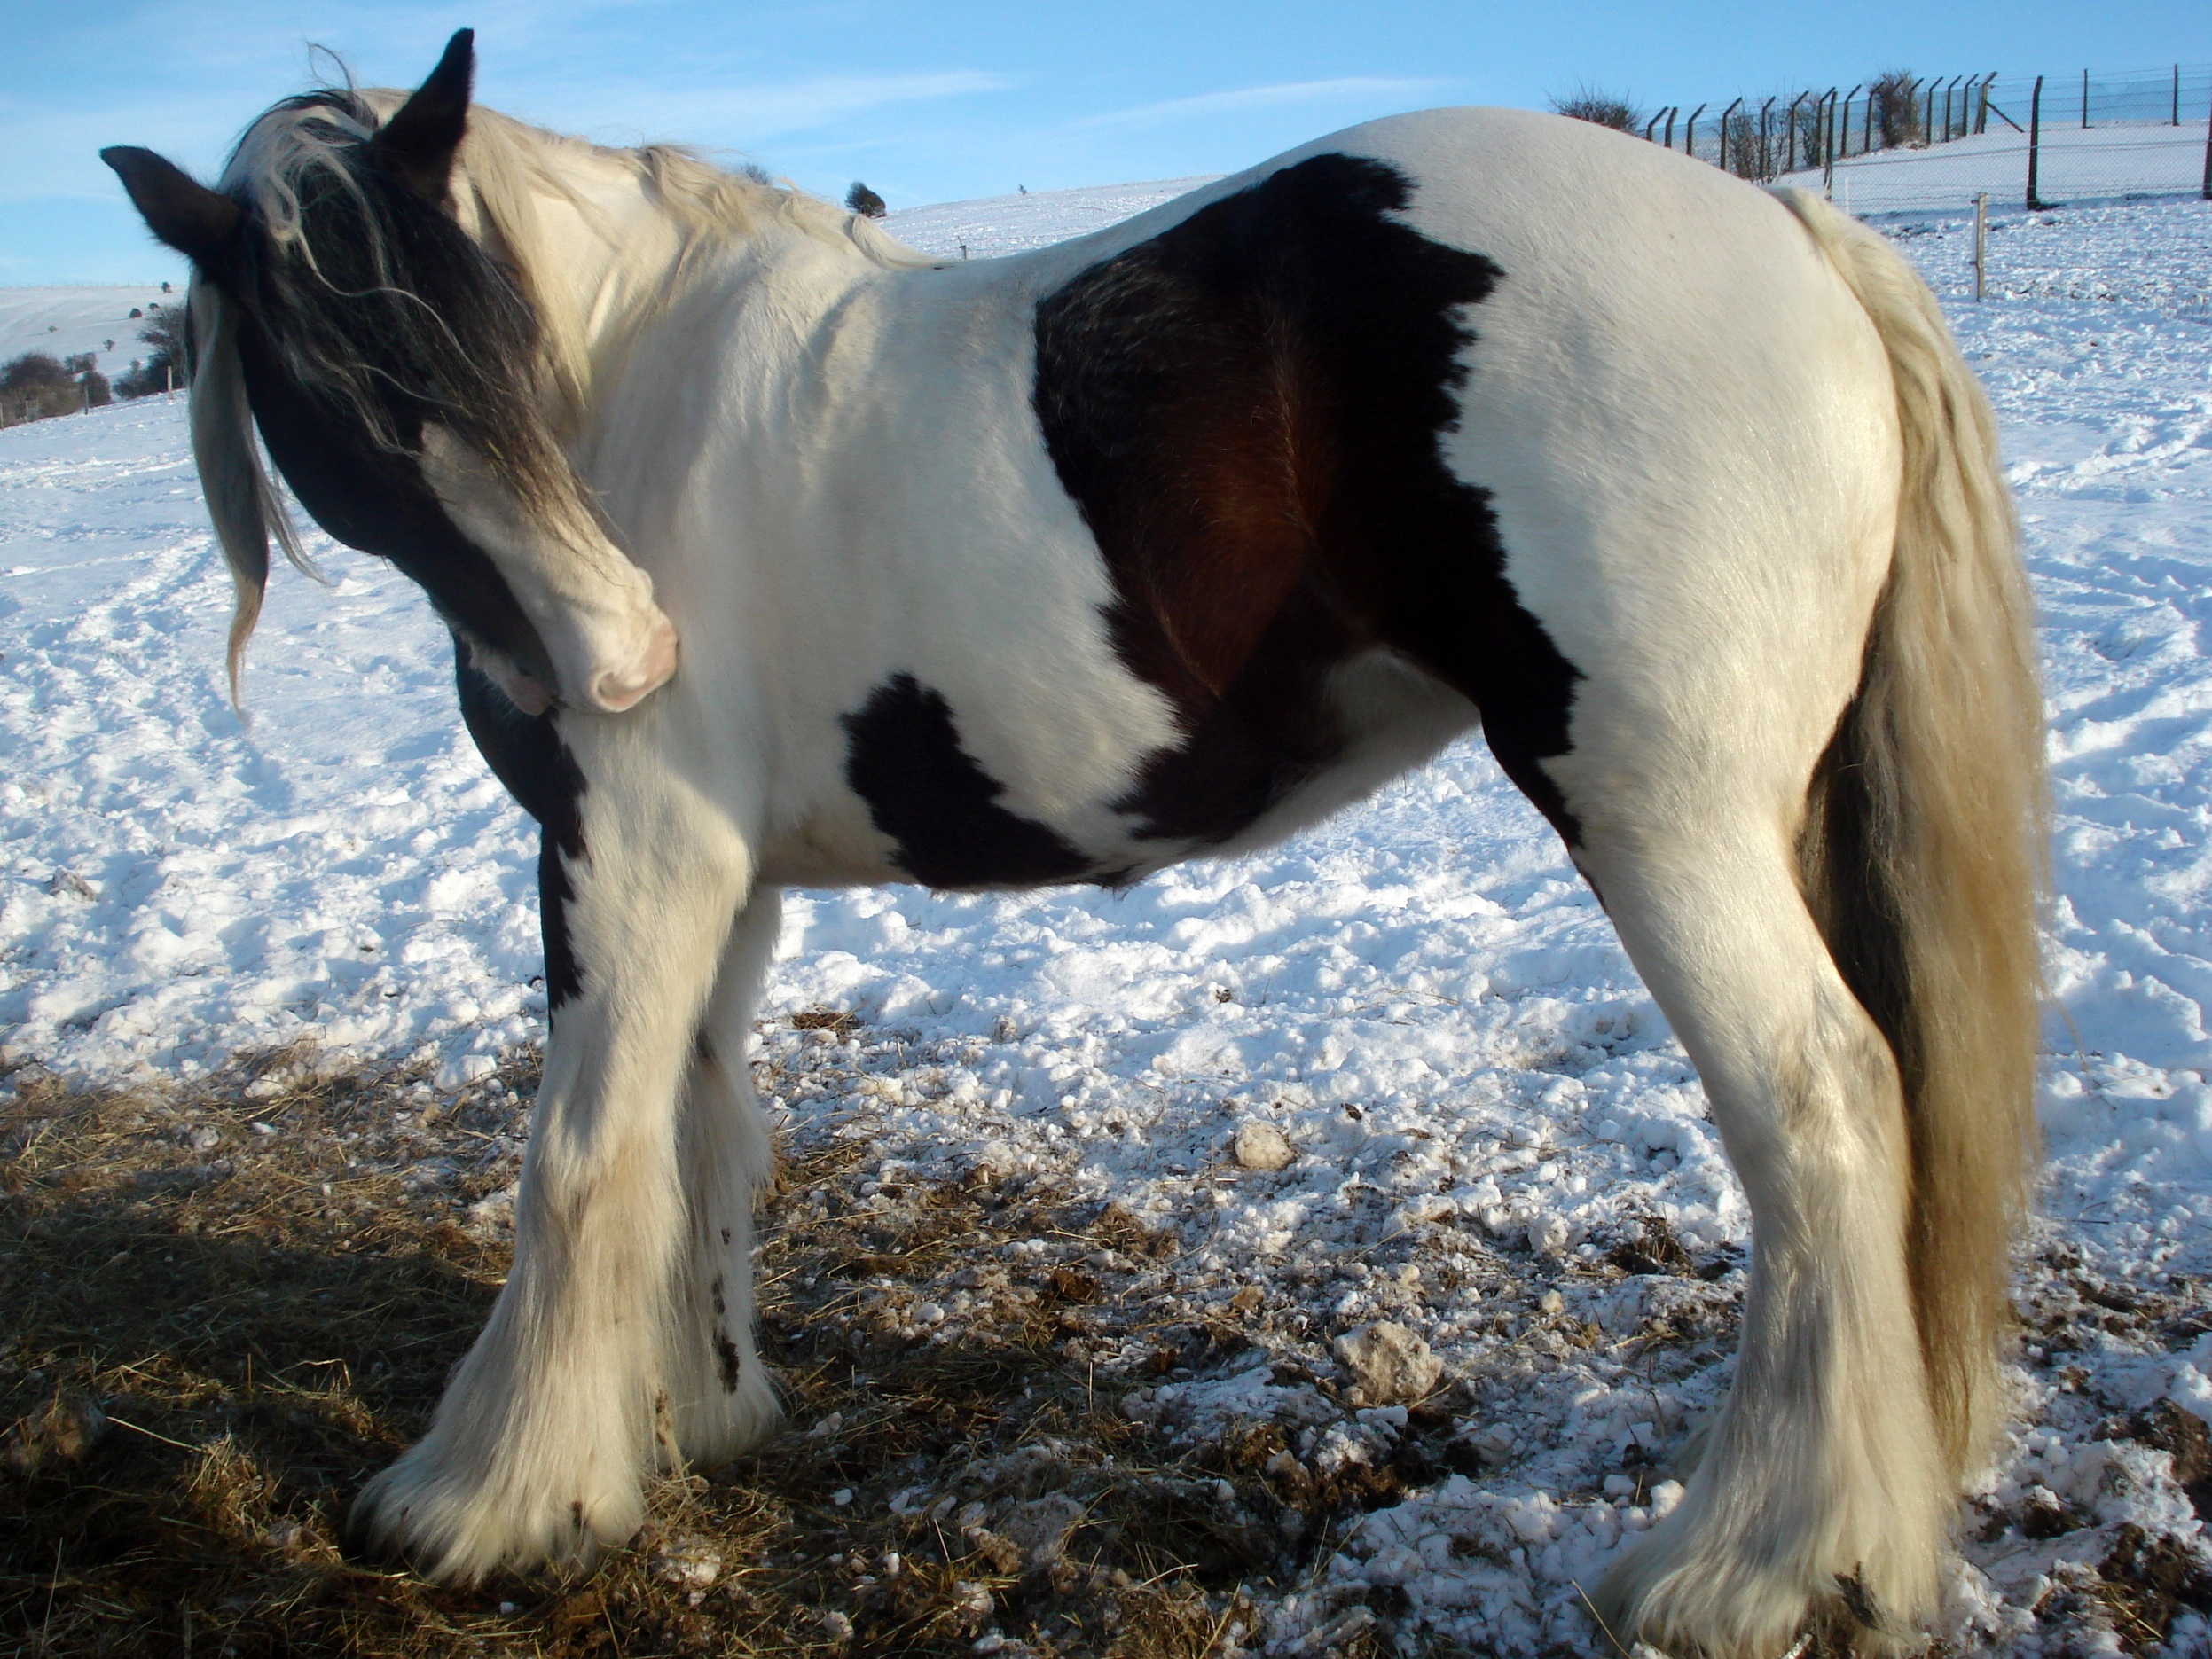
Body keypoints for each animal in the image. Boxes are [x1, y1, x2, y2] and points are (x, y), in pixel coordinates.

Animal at [104, 31, 2045, 1656]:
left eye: (483, 339)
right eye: (337, 390)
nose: (624, 654)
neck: (637, 376)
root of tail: (1785, 227)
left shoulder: (627, 850)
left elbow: (574, 1156)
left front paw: (487, 1498)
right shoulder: (721, 883)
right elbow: (697, 1131)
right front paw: (695, 1414)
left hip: (1661, 818)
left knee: (1817, 1108)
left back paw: (1754, 1566)